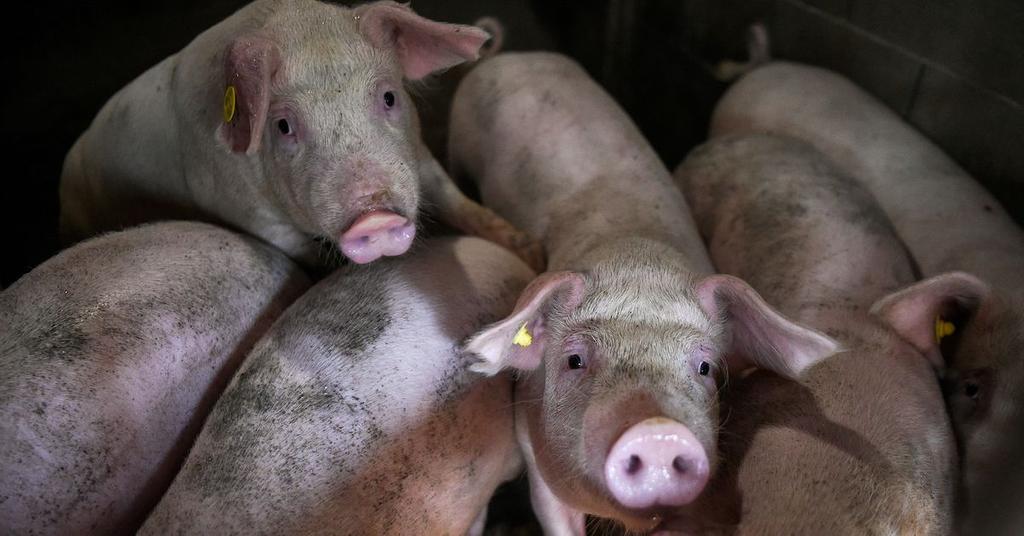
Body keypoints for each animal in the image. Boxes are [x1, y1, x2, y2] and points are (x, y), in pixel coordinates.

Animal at [59, 0, 541, 269]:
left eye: (388, 96)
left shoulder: (418, 155)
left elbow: (460, 202)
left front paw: (529, 253)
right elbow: (296, 248)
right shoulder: (248, 214)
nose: (375, 216)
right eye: (283, 125)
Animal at [448, 52, 839, 534]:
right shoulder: (534, 455)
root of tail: (516, 55)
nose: (658, 431)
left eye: (706, 367)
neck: (635, 258)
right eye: (574, 360)